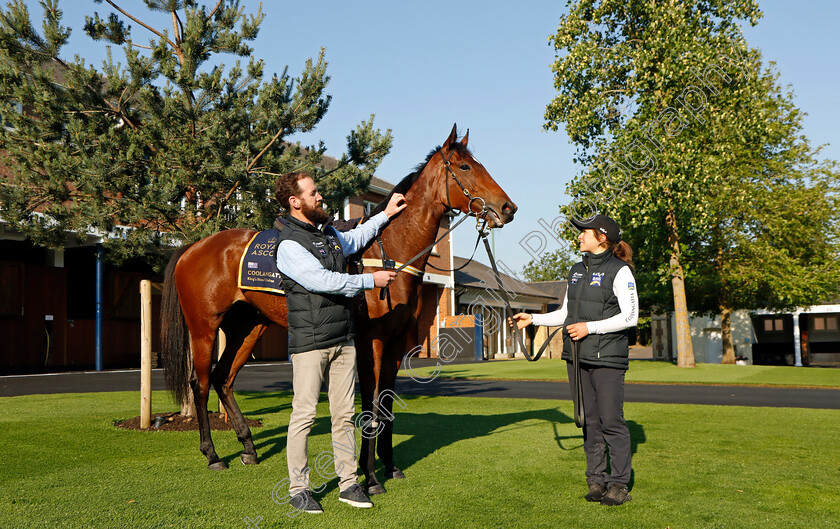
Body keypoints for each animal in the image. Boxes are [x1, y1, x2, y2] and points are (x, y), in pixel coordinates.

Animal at [160, 124, 516, 490]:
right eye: (464, 166)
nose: (507, 208)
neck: (388, 253)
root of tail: (194, 246)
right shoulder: (370, 341)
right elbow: (371, 406)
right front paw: (370, 476)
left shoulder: (396, 343)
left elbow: (386, 404)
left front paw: (390, 466)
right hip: (203, 328)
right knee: (200, 384)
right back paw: (213, 455)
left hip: (248, 327)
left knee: (224, 379)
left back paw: (248, 447)